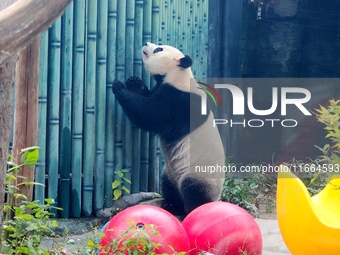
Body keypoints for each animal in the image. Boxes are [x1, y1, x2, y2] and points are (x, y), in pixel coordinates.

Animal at [111, 42, 226, 216]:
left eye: (159, 49)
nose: (146, 43)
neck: (178, 75)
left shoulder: (180, 103)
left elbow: (149, 114)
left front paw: (119, 86)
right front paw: (134, 83)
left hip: (200, 172)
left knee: (195, 192)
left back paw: (192, 211)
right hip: (170, 172)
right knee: (170, 188)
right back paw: (171, 206)